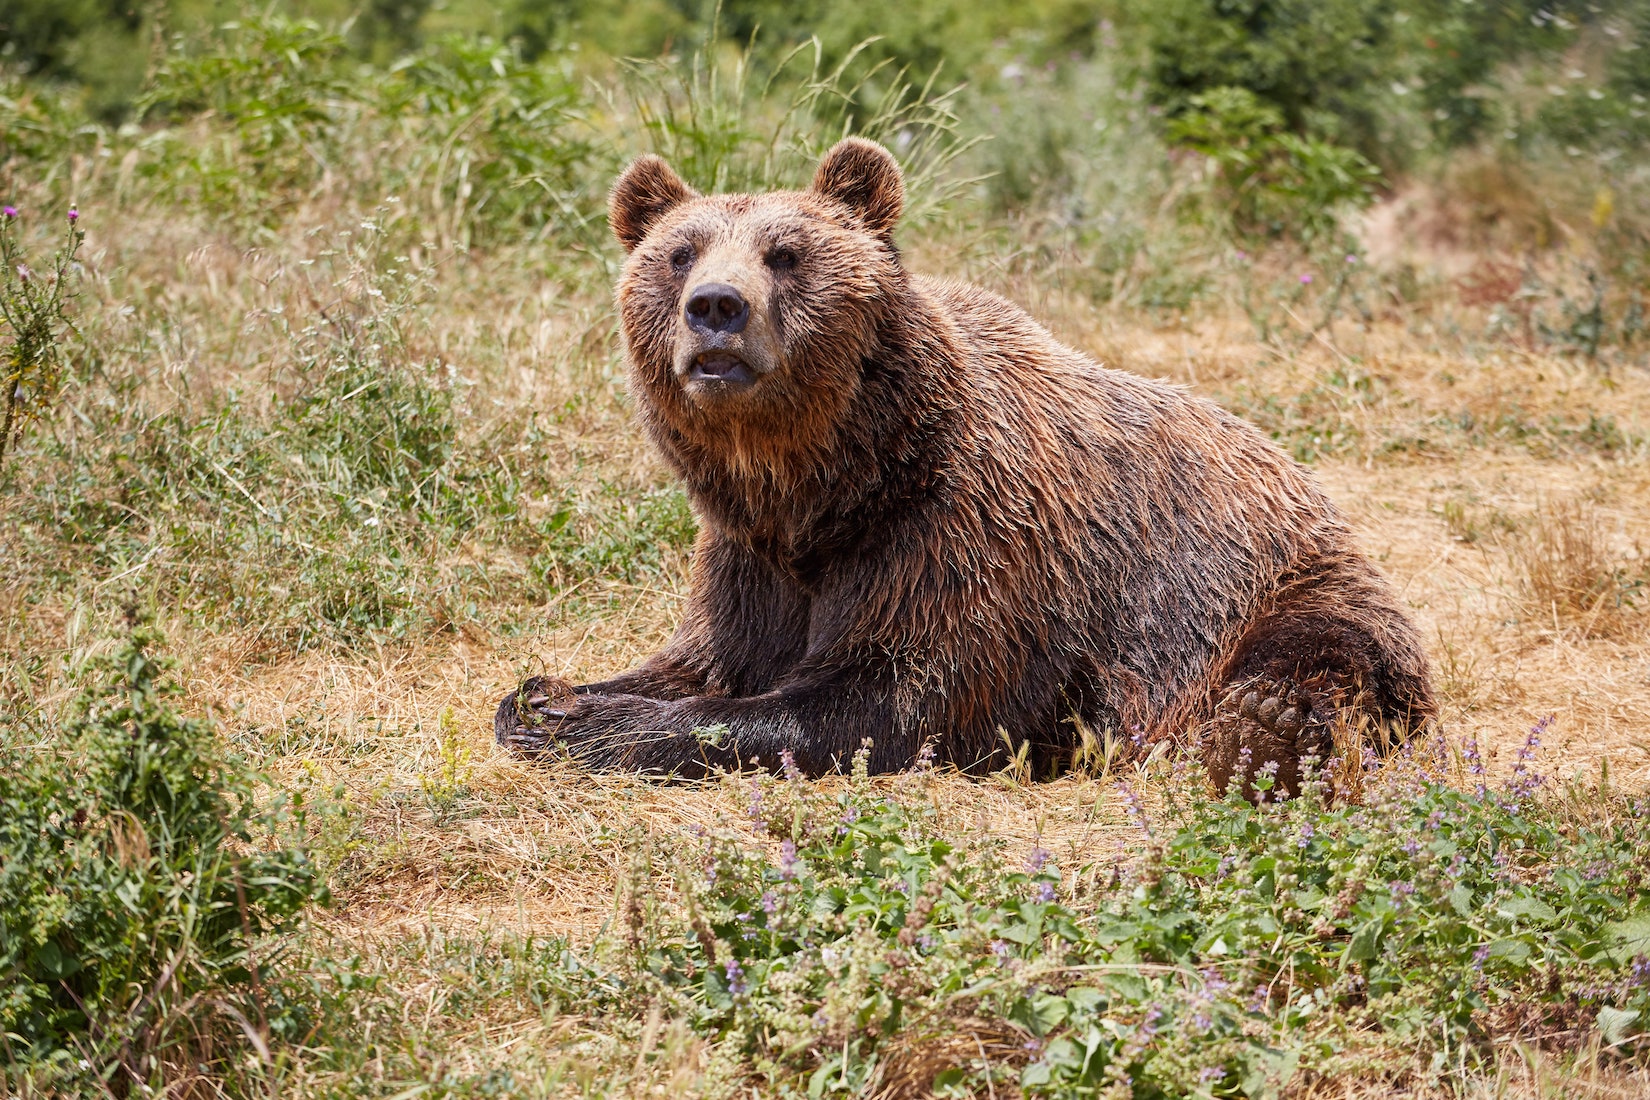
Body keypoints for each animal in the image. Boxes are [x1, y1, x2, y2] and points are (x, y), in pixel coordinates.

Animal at [495, 137, 1438, 794]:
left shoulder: (960, 538)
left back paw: (1267, 731)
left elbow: (882, 698)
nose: (716, 310)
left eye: (785, 253)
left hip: (1262, 583)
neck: (827, 486)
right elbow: (702, 657)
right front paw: (545, 696)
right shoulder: (748, 557)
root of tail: (1304, 476)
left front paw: (592, 722)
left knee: (1322, 657)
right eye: (679, 251)